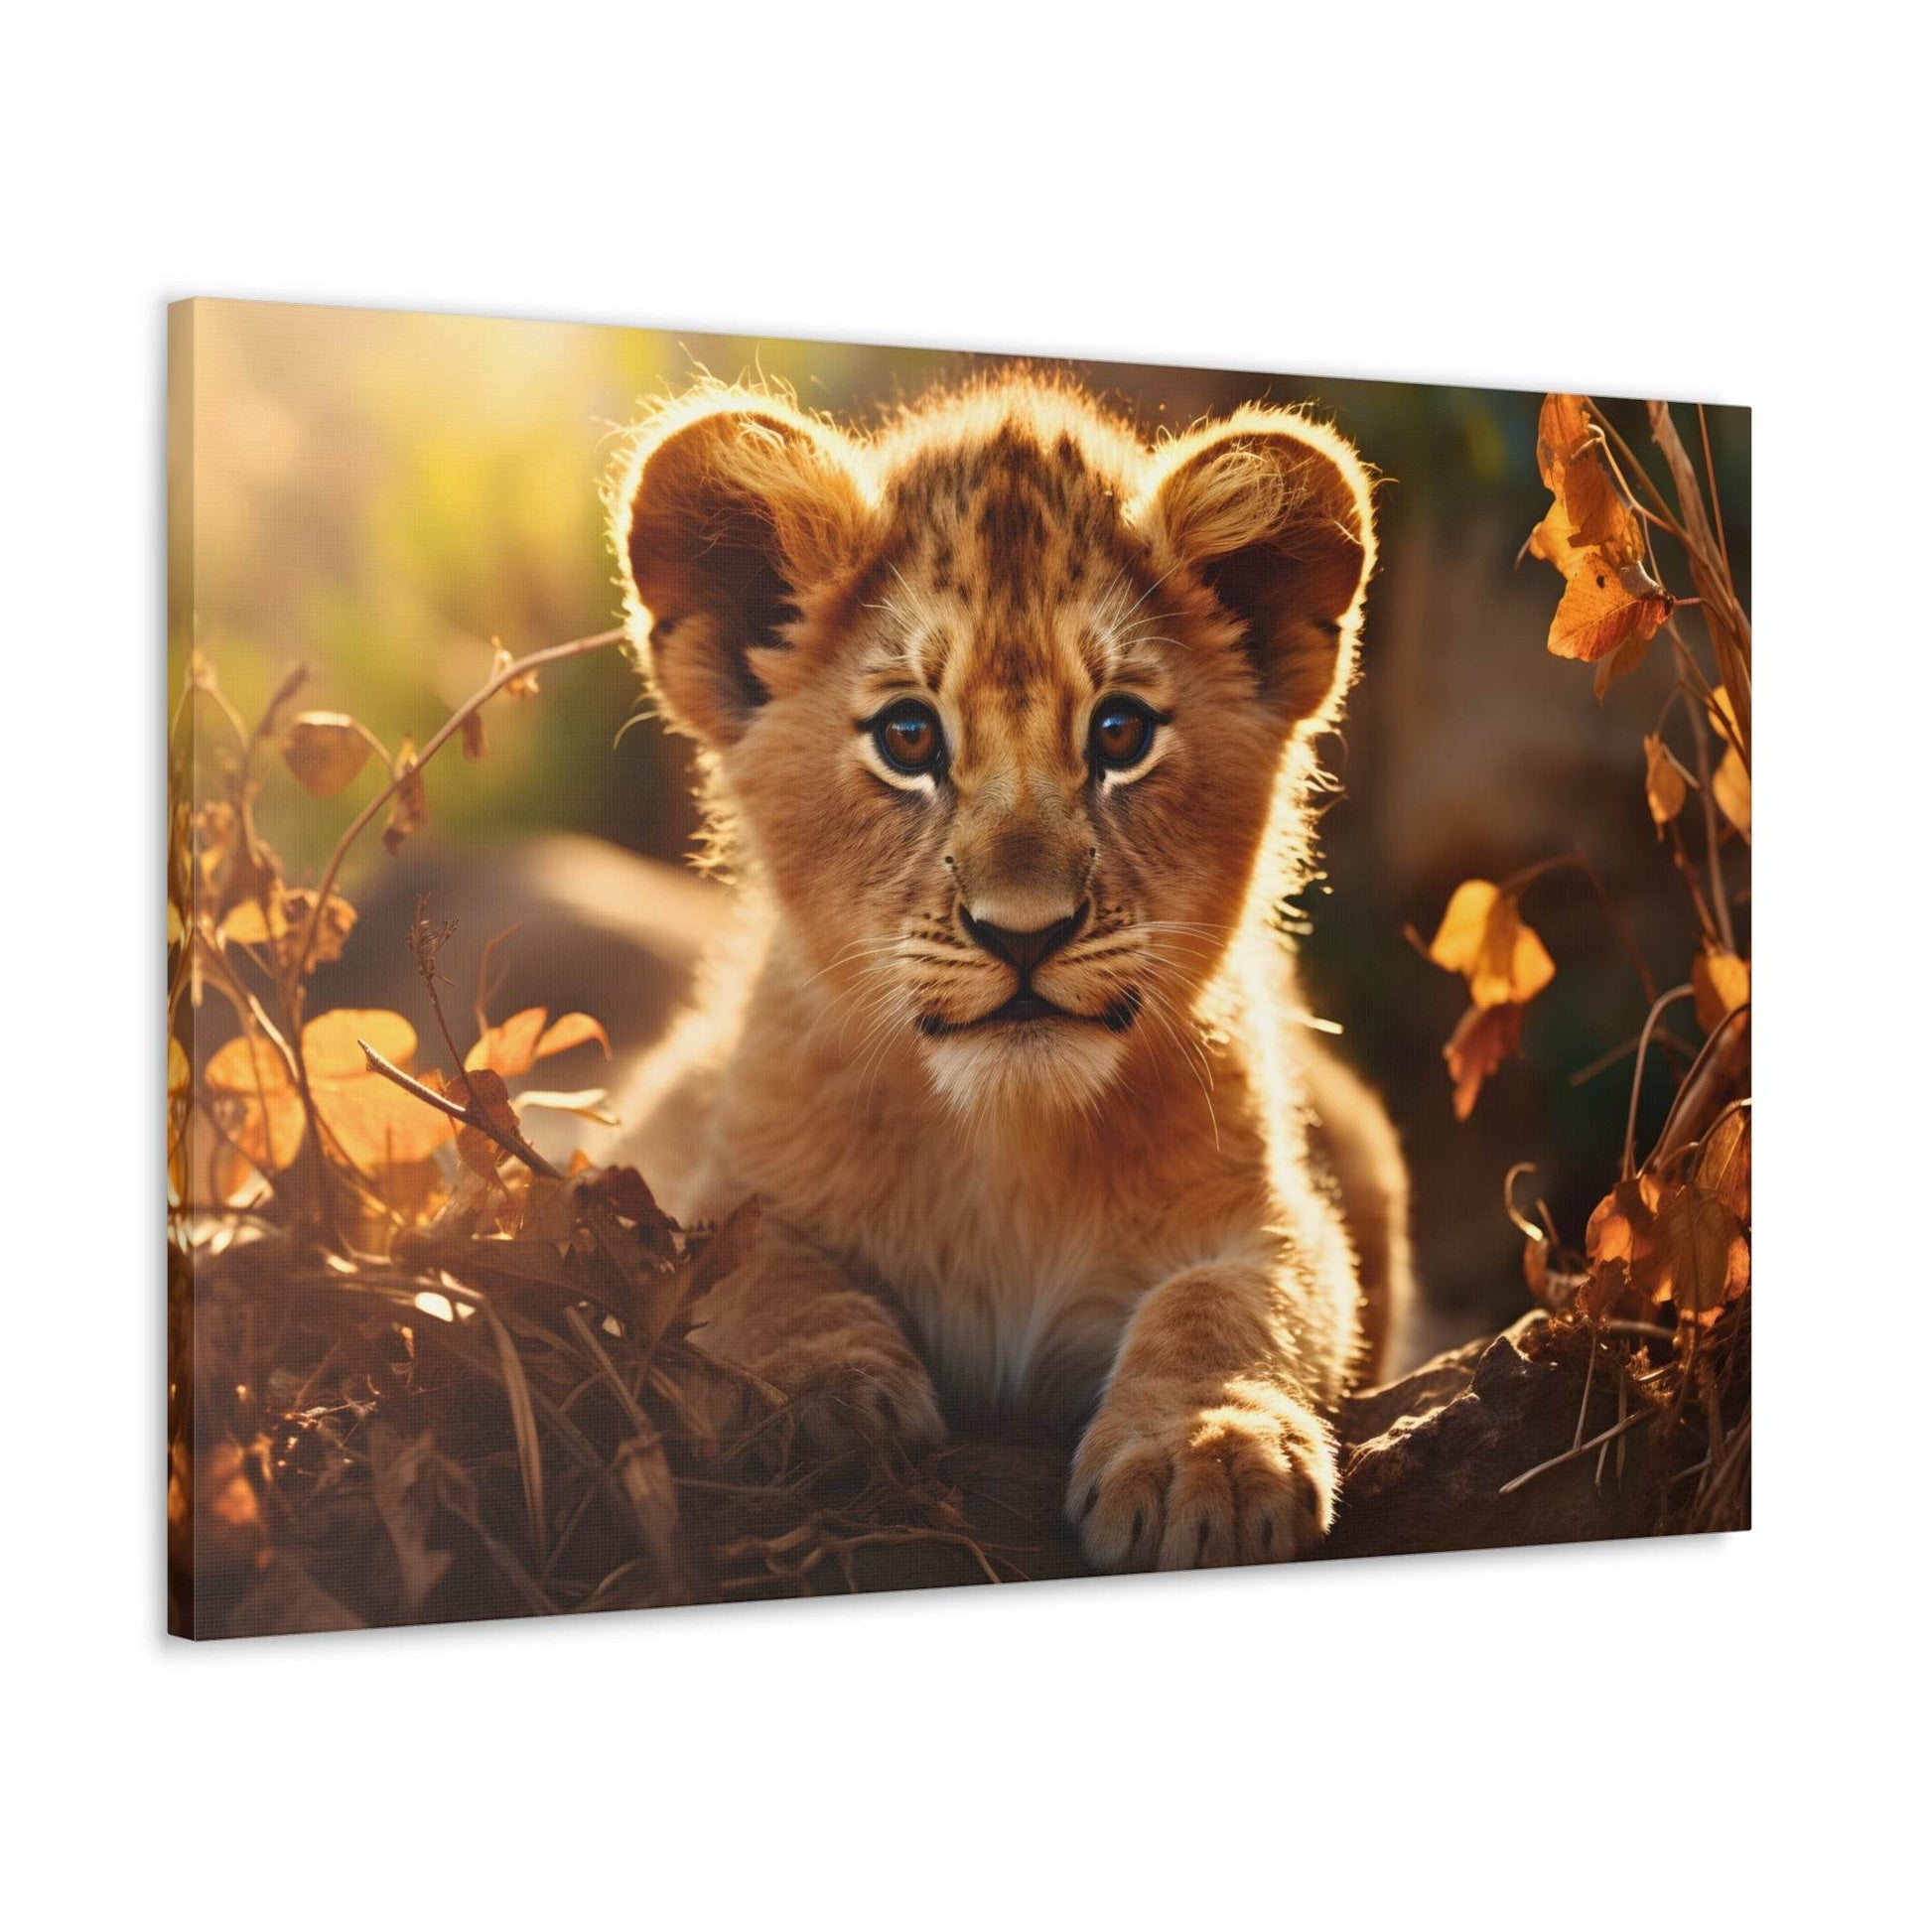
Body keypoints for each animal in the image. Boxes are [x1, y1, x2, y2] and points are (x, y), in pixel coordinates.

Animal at [609, 371, 1412, 1572]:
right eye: (907, 737)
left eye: (1119, 733)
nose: (1024, 932)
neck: (1005, 1147)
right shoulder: (691, 1166)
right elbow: (751, 1266)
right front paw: (814, 1394)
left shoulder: (1270, 1210)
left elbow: (1231, 1299)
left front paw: (1206, 1452)